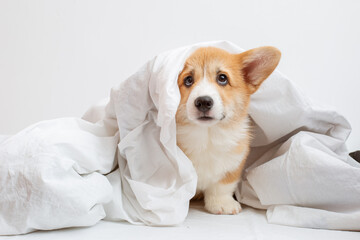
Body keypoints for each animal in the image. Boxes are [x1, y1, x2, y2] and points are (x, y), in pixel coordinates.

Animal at [176, 46, 280, 215]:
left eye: (222, 78)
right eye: (188, 80)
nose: (203, 102)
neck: (207, 136)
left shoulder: (233, 164)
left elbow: (222, 186)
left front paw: (222, 204)